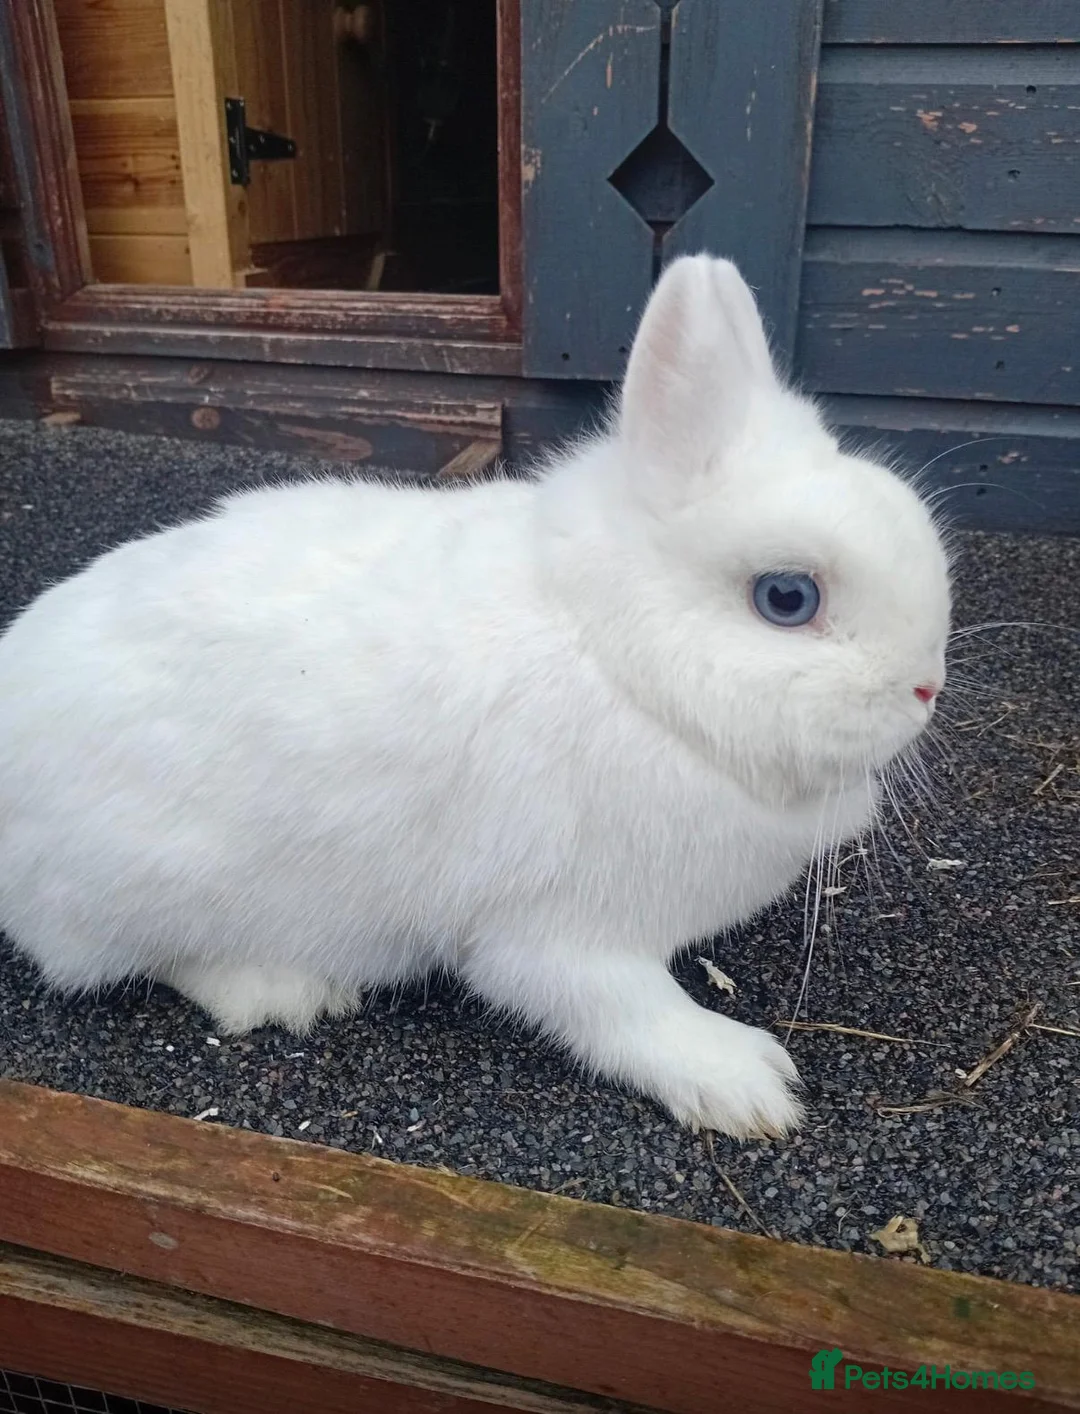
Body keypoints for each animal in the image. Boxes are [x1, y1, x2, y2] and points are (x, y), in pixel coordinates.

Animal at [0, 256, 950, 1139]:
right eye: (787, 598)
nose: (927, 687)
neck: (620, 664)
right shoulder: (554, 927)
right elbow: (624, 1010)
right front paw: (746, 1085)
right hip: (144, 883)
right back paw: (284, 989)